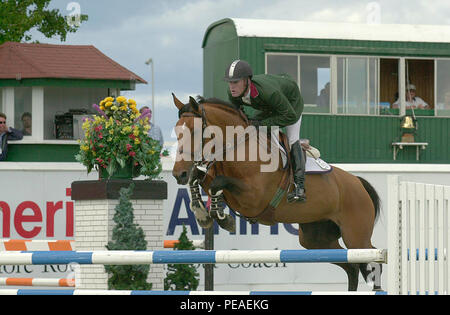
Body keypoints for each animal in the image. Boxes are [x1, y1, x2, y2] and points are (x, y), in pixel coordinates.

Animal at [171, 94, 382, 294]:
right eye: (177, 131)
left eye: (195, 131)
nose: (178, 174)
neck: (238, 148)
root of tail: (358, 183)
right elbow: (199, 179)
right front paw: (203, 213)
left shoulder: (253, 197)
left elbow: (217, 183)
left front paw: (223, 219)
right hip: (316, 239)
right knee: (352, 266)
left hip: (356, 236)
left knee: (372, 258)